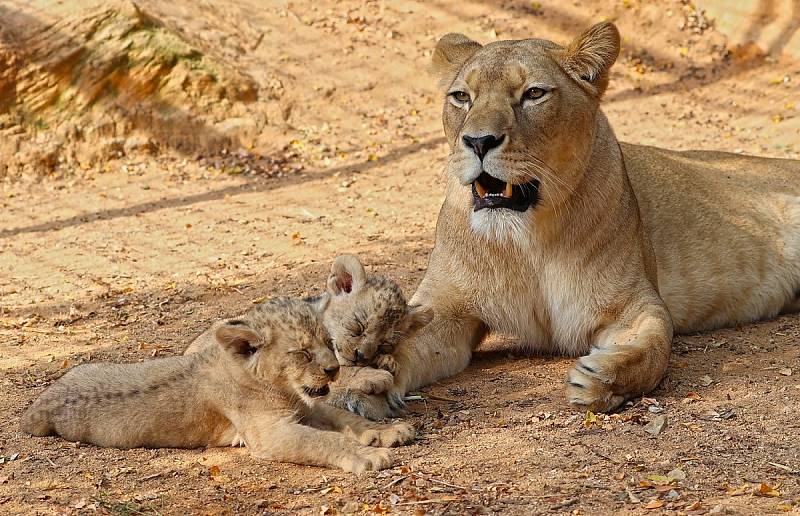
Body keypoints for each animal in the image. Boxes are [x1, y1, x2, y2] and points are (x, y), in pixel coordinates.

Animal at [332, 21, 800, 420]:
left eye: (534, 93)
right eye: (461, 97)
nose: (478, 141)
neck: (525, 240)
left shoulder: (634, 301)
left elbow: (654, 346)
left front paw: (602, 380)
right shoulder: (445, 311)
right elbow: (400, 344)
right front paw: (364, 382)